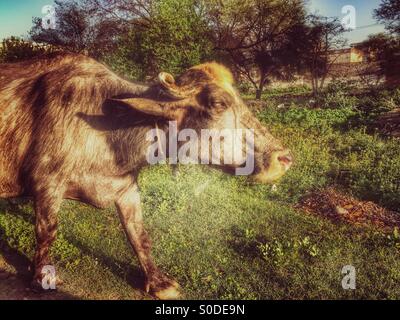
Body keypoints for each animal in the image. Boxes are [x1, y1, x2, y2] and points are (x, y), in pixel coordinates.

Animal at [0, 53, 294, 300]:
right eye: (218, 103)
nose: (284, 158)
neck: (109, 129)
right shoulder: (47, 185)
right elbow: (46, 231)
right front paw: (41, 276)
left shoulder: (127, 188)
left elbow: (139, 234)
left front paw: (158, 282)